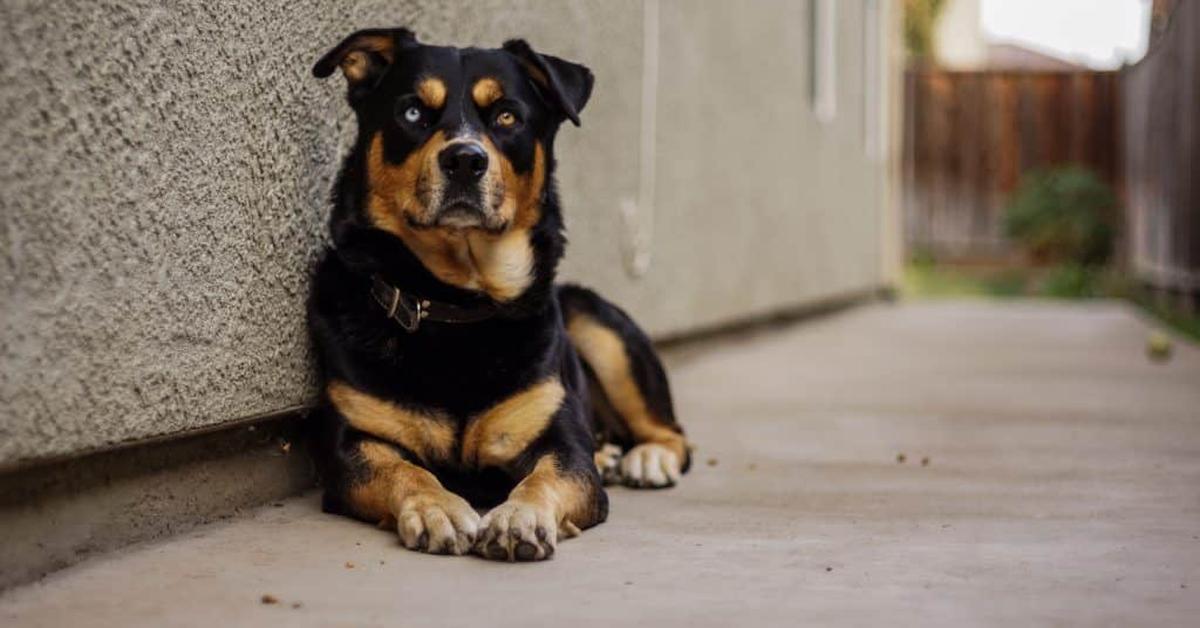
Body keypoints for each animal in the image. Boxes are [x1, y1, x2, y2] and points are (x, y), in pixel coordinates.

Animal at [304, 27, 691, 561]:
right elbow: (405, 470)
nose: (465, 159)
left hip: (598, 322)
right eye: (412, 112)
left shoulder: (564, 447)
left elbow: (545, 478)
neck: (456, 303)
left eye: (507, 115)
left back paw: (646, 458)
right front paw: (438, 508)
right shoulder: (353, 443)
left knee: (674, 434)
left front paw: (518, 517)